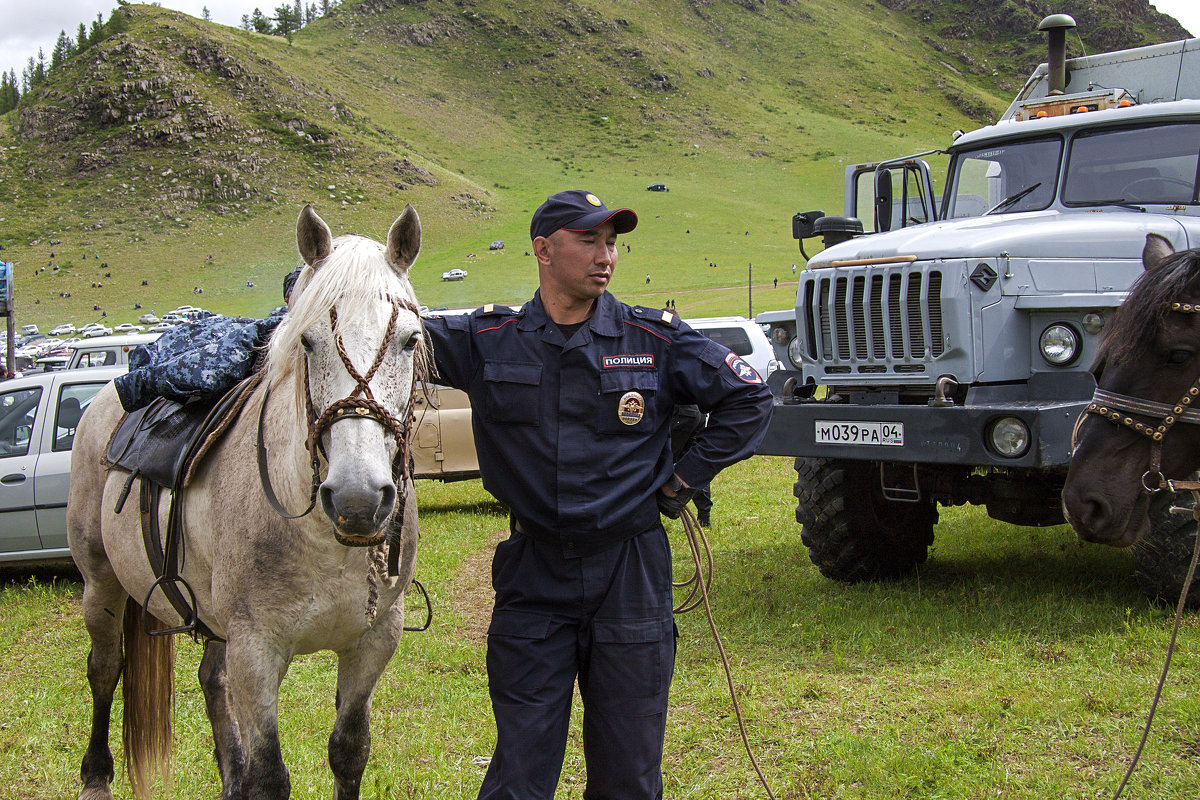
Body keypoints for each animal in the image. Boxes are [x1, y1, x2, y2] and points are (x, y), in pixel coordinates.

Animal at [68, 205, 429, 800]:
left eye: (409, 340)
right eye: (307, 342)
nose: (356, 499)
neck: (321, 542)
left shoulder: (372, 643)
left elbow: (349, 751)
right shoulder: (256, 652)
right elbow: (269, 775)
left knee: (210, 682)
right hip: (101, 582)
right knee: (104, 668)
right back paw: (96, 774)